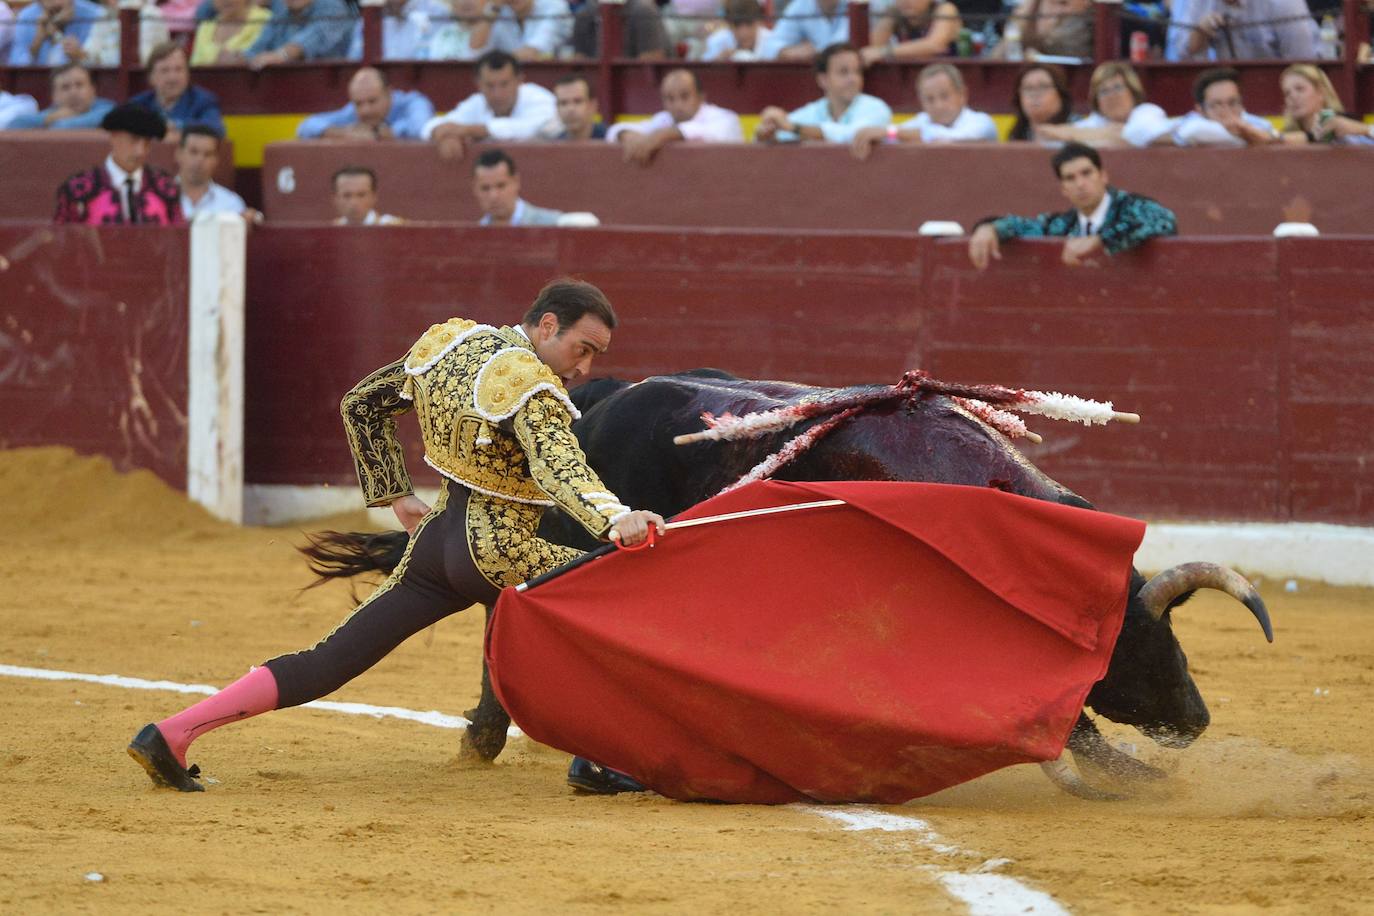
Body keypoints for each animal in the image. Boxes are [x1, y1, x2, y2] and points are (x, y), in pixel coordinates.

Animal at [306, 368, 1269, 796]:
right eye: (1137, 645)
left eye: (1173, 637)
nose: (1196, 719)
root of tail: (599, 399)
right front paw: (1131, 773)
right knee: (510, 610)